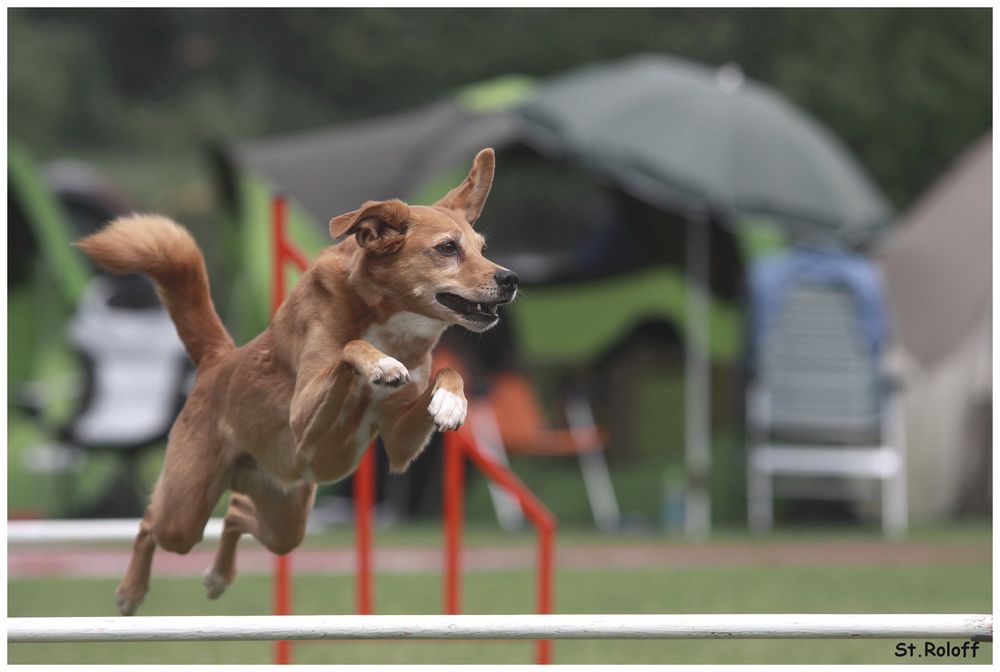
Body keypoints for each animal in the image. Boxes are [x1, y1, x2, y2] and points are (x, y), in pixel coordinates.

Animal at [77, 147, 516, 616]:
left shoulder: (398, 442)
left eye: (483, 249)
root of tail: (218, 360)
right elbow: (350, 348)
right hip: (184, 510)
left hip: (283, 521)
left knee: (237, 514)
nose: (510, 279)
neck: (388, 322)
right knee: (149, 523)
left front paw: (451, 403)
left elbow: (447, 373)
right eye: (447, 248)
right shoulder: (304, 415)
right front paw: (379, 365)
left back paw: (218, 575)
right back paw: (130, 591)